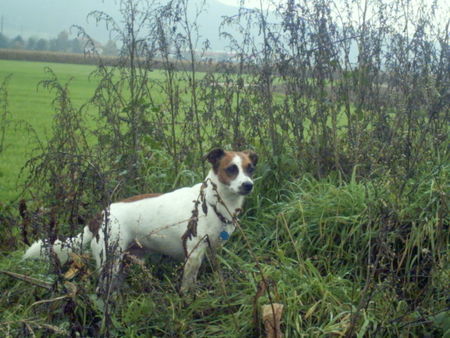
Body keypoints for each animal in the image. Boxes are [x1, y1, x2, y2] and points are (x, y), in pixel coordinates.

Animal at [23, 148, 256, 294]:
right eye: (231, 169)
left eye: (250, 168)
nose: (248, 185)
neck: (212, 201)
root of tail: (100, 215)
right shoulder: (193, 255)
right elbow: (186, 287)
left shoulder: (213, 251)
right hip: (110, 261)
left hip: (123, 261)